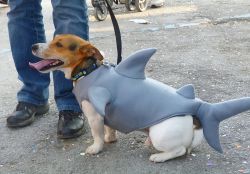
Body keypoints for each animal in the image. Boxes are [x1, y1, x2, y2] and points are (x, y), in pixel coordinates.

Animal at [30, 33, 250, 162]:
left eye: (59, 44)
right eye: (53, 39)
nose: (33, 46)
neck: (89, 70)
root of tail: (197, 117)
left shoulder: (94, 114)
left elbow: (97, 134)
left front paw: (96, 148)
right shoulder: (106, 115)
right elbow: (109, 129)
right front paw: (110, 139)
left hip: (161, 134)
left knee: (179, 150)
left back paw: (158, 157)